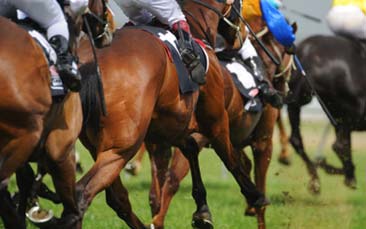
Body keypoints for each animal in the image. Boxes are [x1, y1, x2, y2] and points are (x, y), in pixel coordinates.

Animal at [146, 16, 294, 229]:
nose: (284, 88)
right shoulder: (262, 142)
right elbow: (259, 184)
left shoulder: (232, 140)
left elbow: (243, 165)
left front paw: (249, 205)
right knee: (172, 179)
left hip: (159, 140)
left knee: (156, 188)